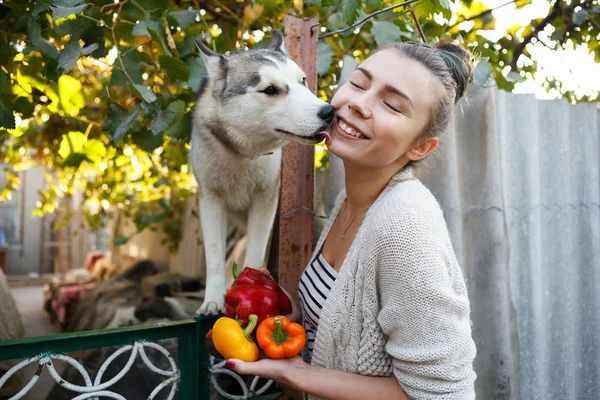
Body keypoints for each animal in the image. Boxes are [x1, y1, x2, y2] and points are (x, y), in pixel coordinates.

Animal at [192, 30, 332, 316]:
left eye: (303, 81)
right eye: (270, 90)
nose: (329, 111)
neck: (241, 154)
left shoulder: (266, 199)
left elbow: (256, 254)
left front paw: (257, 285)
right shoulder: (210, 198)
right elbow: (214, 257)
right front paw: (211, 301)